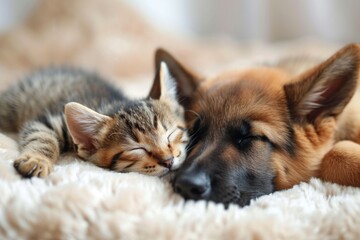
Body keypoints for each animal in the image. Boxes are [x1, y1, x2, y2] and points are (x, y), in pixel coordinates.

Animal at [0, 62, 190, 177]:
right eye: (137, 149)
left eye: (170, 135)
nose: (168, 160)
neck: (111, 103)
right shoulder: (52, 121)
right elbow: (42, 137)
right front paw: (37, 160)